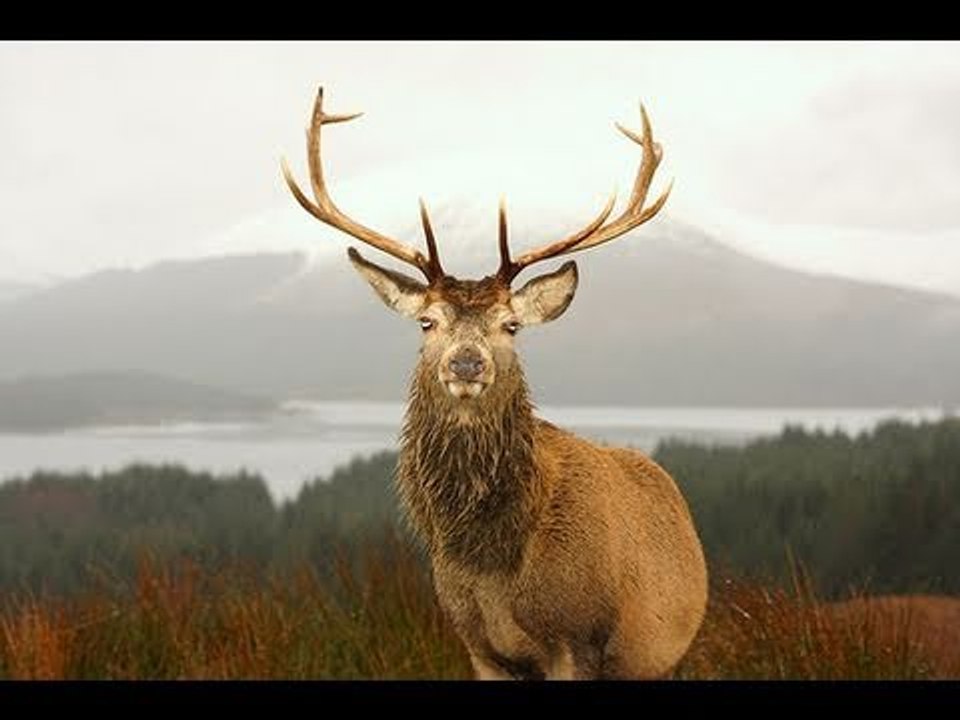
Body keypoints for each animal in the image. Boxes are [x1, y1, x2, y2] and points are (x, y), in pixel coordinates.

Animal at [281, 88, 708, 680]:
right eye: (427, 321)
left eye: (511, 325)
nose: (466, 364)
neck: (490, 564)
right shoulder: (475, 641)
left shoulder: (579, 639)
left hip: (661, 655)